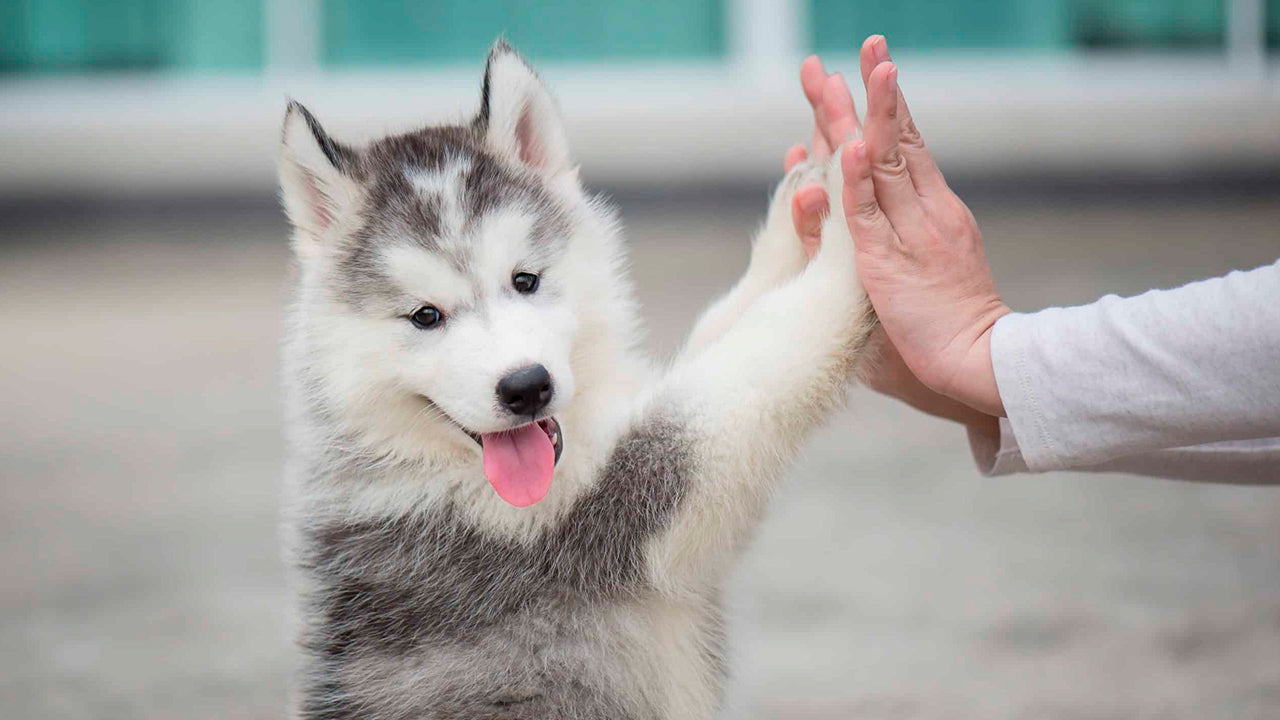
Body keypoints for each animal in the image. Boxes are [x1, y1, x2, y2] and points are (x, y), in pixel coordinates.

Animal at [281, 40, 880, 717]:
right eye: (425, 316)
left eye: (526, 280)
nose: (525, 387)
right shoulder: (619, 509)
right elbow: (761, 354)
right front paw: (856, 224)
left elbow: (730, 325)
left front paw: (799, 213)